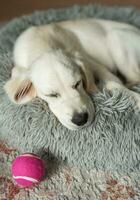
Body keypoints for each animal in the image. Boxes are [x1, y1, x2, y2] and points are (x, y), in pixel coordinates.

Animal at [4, 19, 140, 130]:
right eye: (51, 95)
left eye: (77, 83)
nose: (80, 119)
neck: (42, 46)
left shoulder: (90, 61)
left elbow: (113, 82)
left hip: (116, 39)